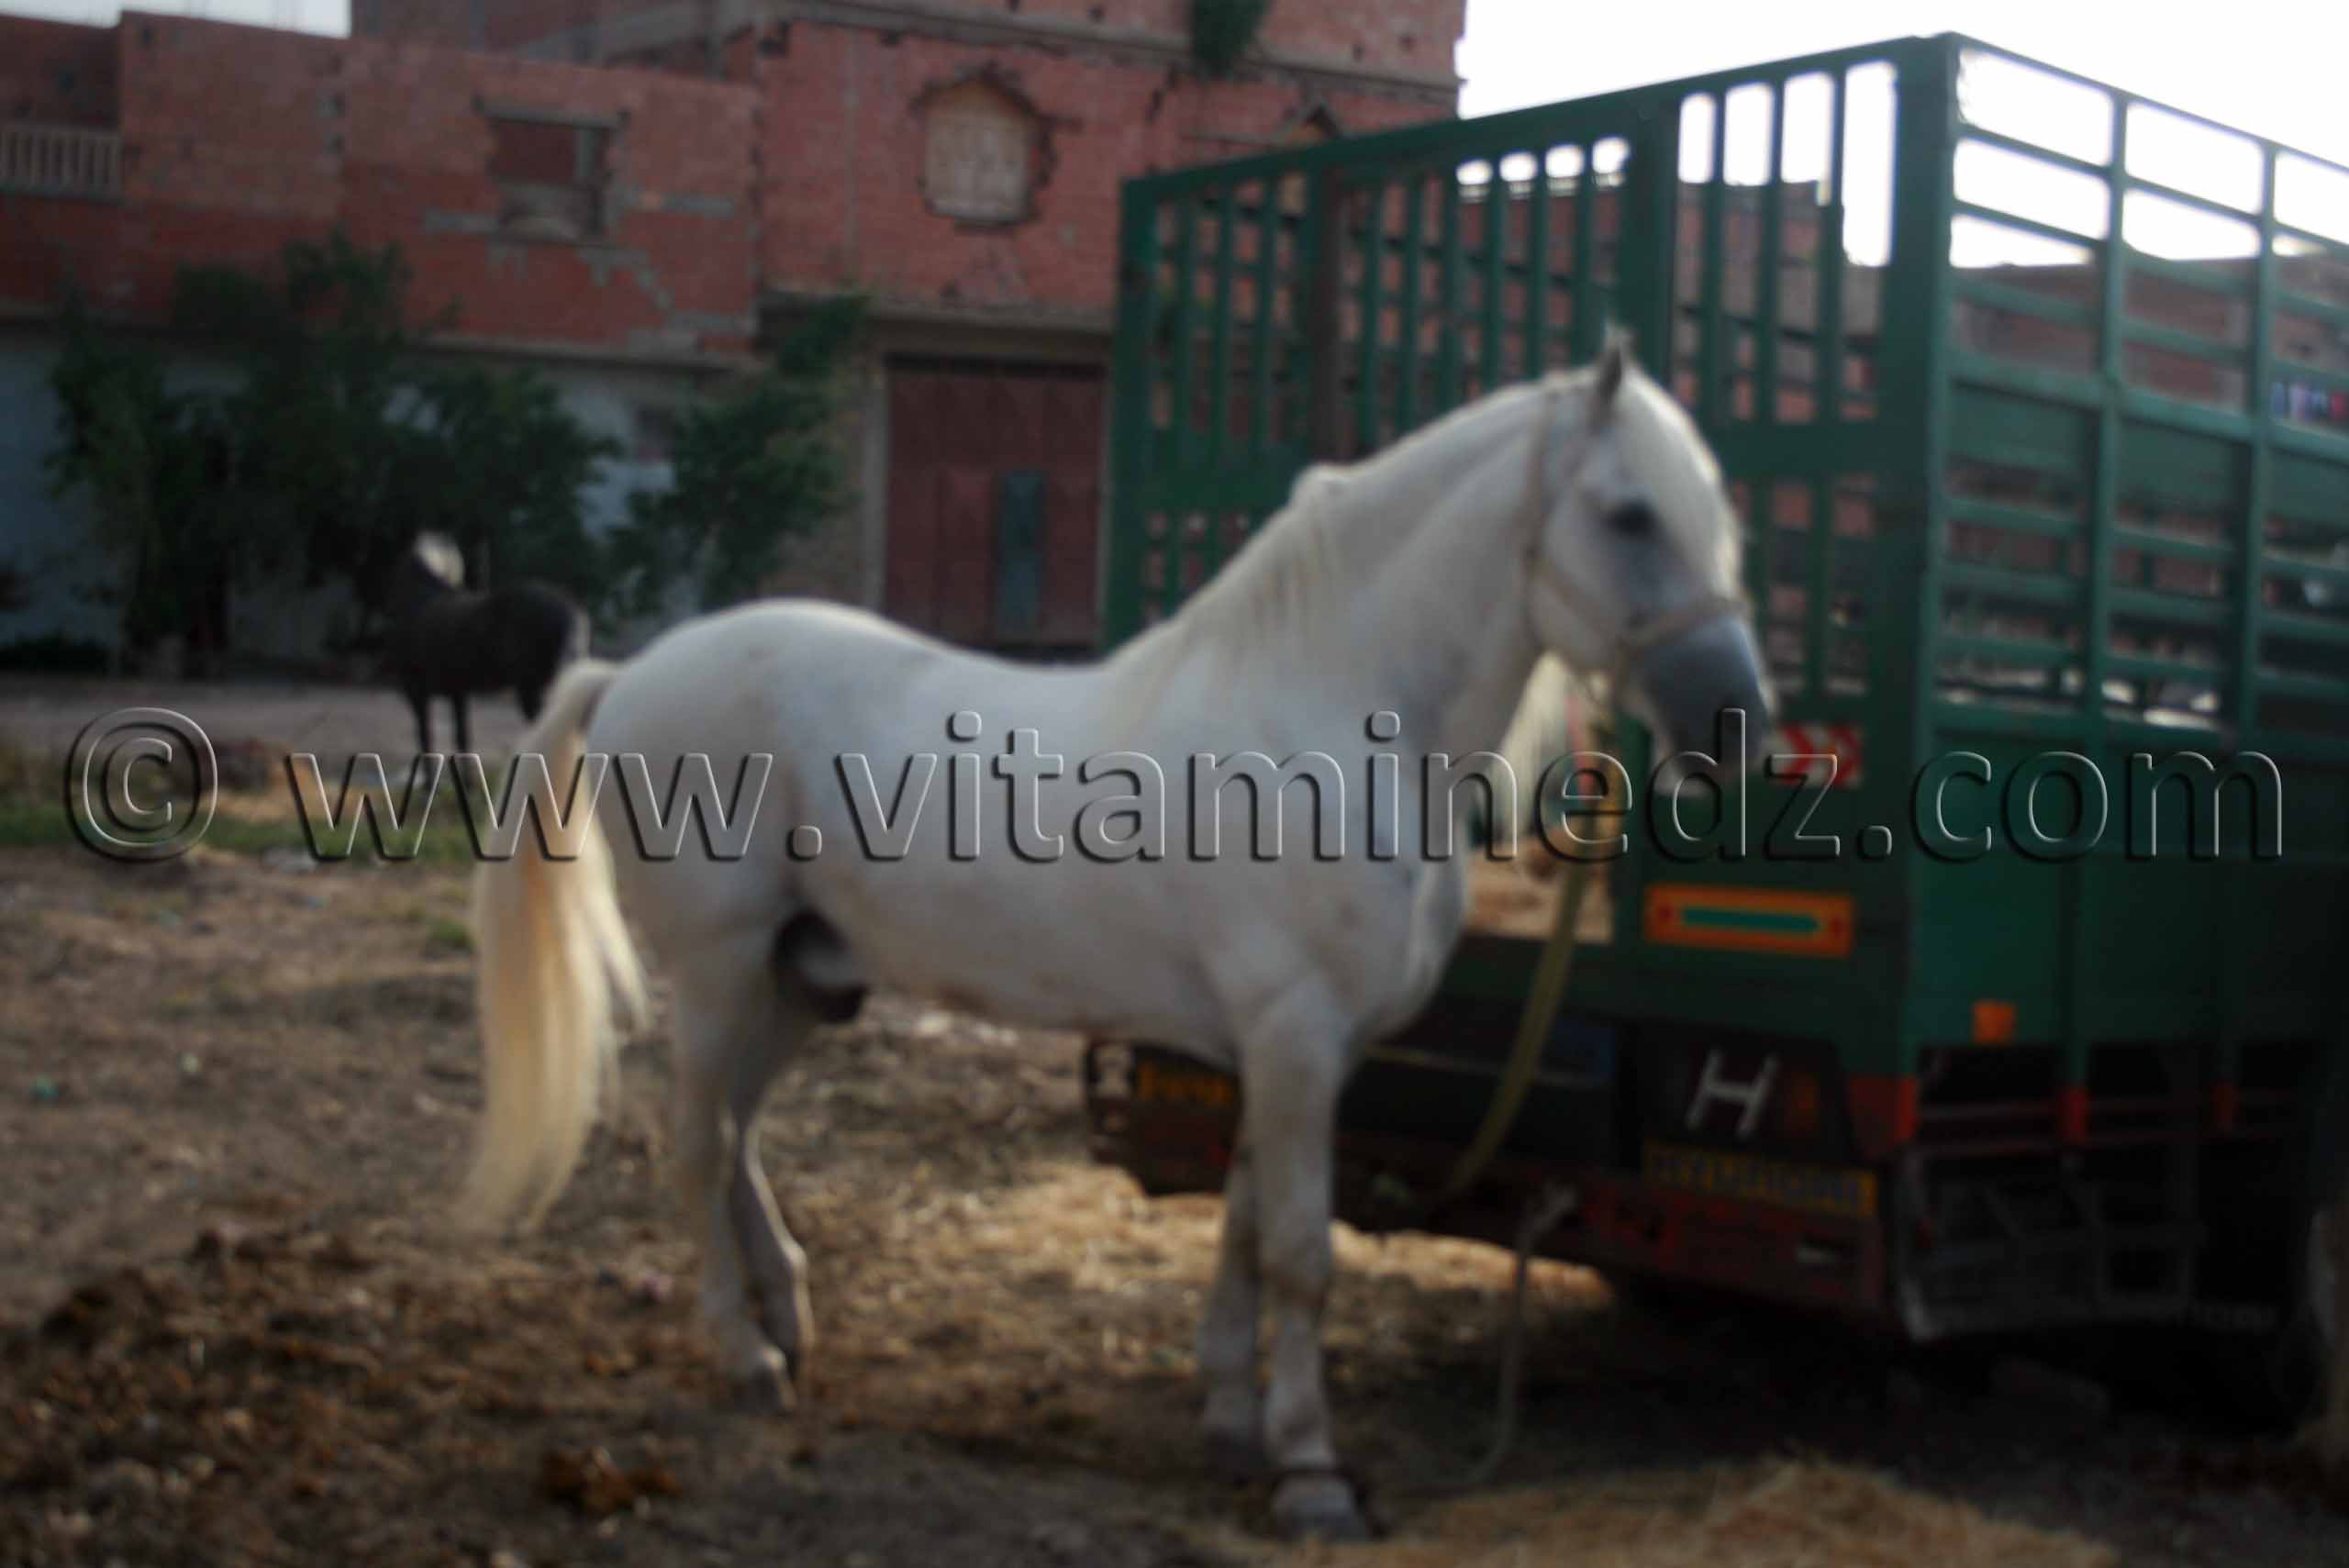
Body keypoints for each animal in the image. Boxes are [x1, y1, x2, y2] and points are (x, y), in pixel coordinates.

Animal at [383, 532, 590, 755]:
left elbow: (426, 741)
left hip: (531, 689)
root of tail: (568, 608)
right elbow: (461, 740)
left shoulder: (416, 692)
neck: (418, 601)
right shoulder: (457, 692)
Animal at [456, 337, 1773, 1542]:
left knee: (733, 1134)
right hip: (718, 969)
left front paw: (1233, 1420)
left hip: (801, 979)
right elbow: (1301, 1249)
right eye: (1629, 512)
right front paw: (1310, 1475)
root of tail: (631, 669)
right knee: (692, 1144)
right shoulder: (1294, 1036)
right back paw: (745, 1357)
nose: (1736, 723)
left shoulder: (1291, 1050)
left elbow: (1243, 1221)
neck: (1329, 720)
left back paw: (787, 1319)